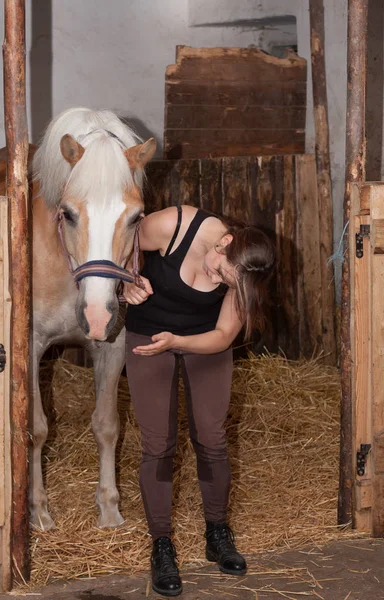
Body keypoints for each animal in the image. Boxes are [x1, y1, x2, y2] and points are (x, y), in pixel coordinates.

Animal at [30, 109, 156, 528]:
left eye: (136, 217)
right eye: (67, 214)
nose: (97, 316)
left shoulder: (113, 345)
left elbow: (106, 425)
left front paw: (110, 508)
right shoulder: (29, 347)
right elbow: (36, 429)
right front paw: (39, 511)